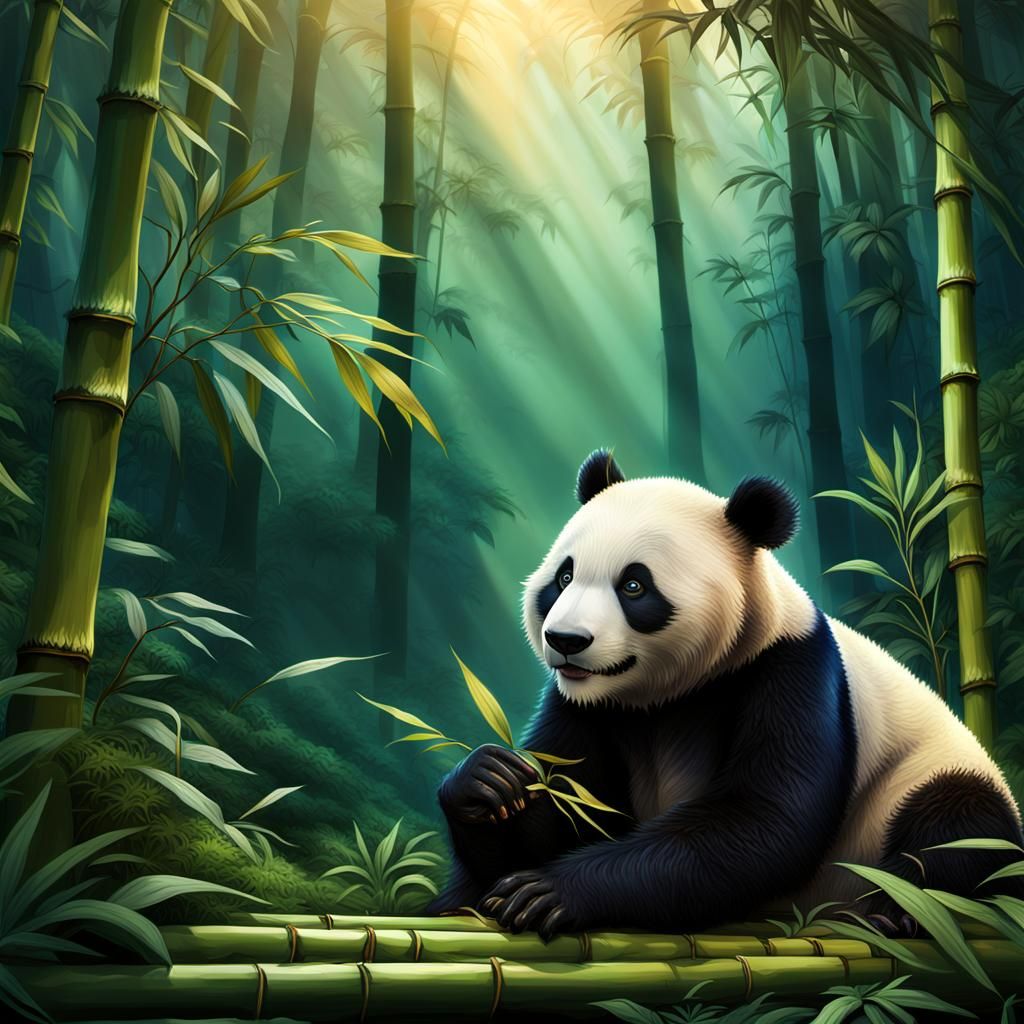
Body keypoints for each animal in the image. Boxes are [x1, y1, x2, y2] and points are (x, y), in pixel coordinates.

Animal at [430, 450, 1023, 939]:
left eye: (634, 586)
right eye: (564, 577)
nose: (566, 641)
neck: (667, 694)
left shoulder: (787, 671)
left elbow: (761, 821)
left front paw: (552, 891)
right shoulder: (589, 706)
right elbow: (568, 800)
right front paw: (488, 782)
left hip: (922, 780)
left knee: (958, 829)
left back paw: (894, 911)